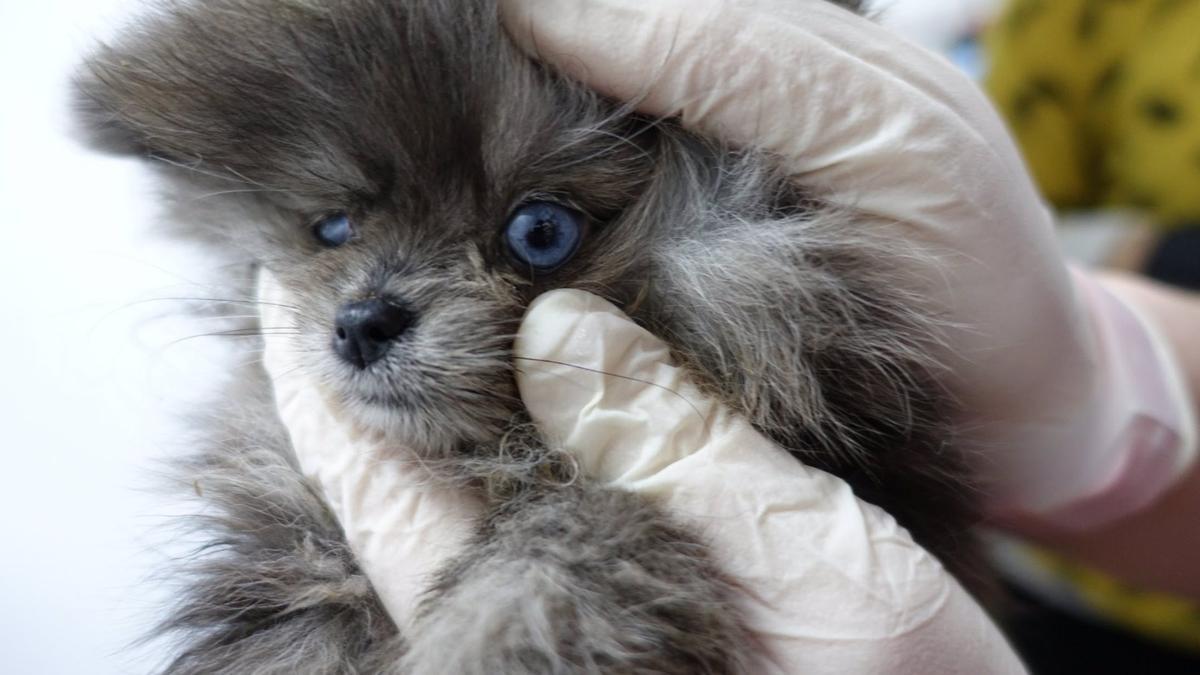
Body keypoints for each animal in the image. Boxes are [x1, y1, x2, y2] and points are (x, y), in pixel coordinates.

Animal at [77, 1, 984, 667]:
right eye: (332, 227)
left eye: (540, 231)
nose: (363, 322)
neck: (498, 461)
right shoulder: (293, 549)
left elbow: (577, 535)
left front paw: (506, 630)